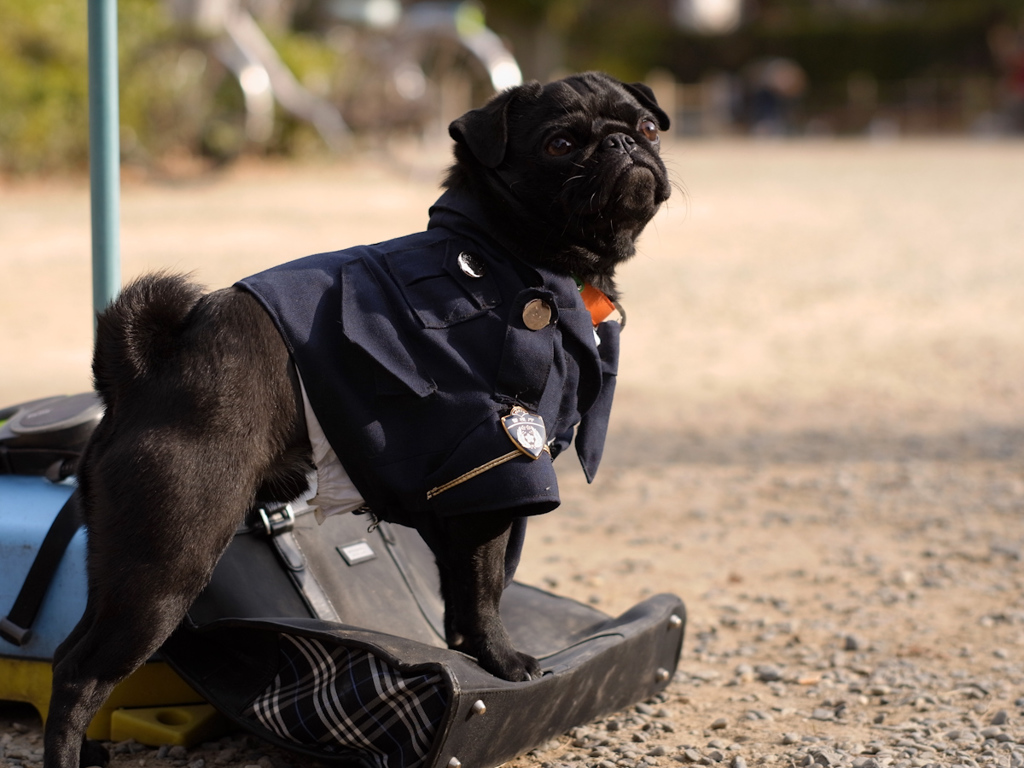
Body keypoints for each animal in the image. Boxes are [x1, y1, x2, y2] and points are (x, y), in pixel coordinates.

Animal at [41, 72, 671, 768]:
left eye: (646, 127)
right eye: (560, 144)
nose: (622, 144)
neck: (508, 252)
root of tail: (140, 375)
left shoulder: (462, 501)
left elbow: (462, 595)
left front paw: (471, 656)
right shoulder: (498, 468)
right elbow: (486, 588)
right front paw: (505, 664)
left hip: (121, 558)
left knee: (69, 653)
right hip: (168, 561)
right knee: (81, 675)